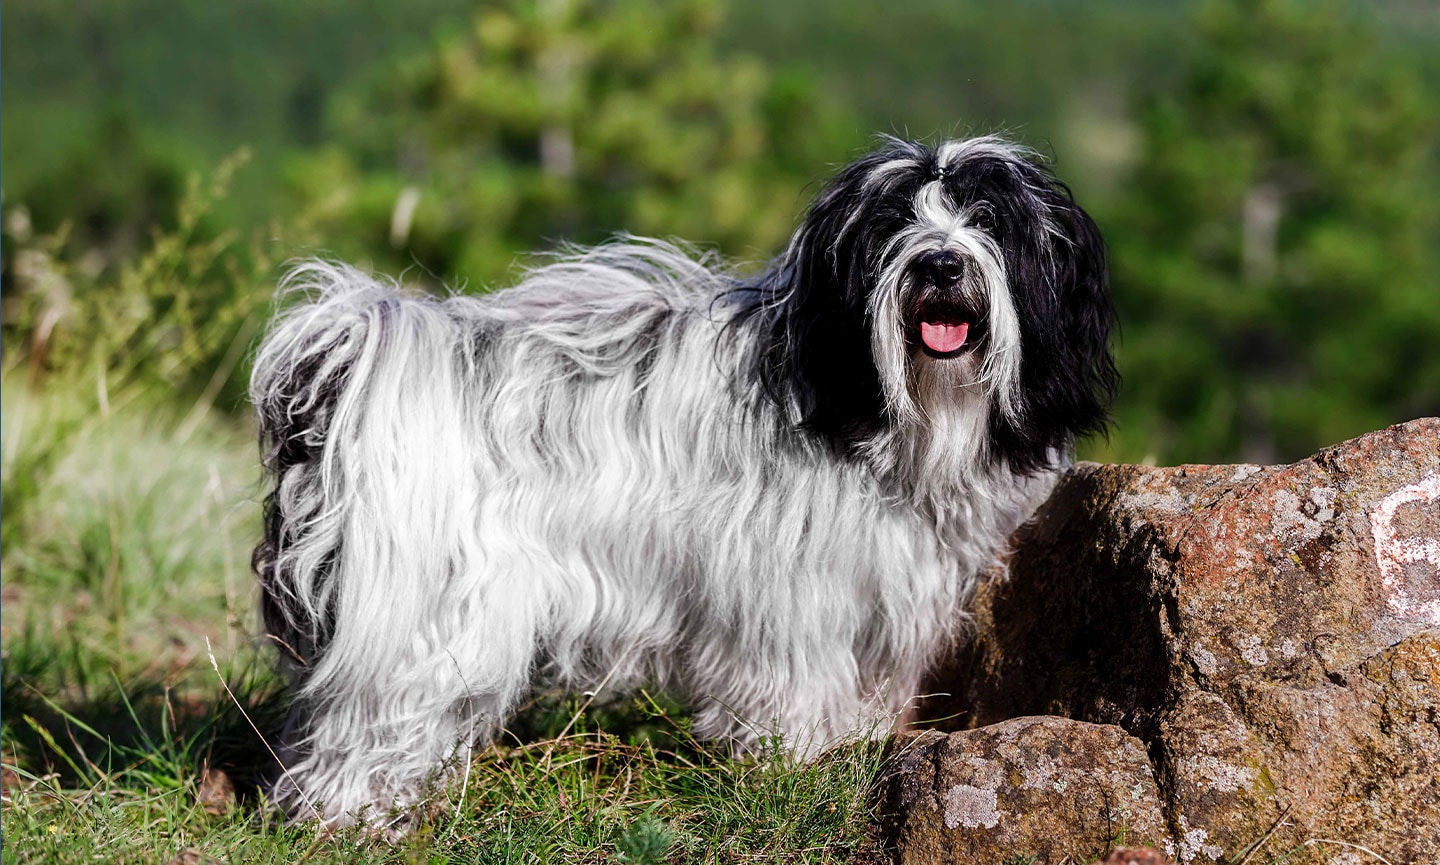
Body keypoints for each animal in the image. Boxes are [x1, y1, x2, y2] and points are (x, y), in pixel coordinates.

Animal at [253, 133, 1117, 823]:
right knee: (369, 721)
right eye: (892, 223)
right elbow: (793, 685)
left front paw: (851, 750)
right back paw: (351, 817)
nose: (939, 262)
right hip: (429, 614)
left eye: (990, 220)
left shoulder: (880, 593)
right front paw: (796, 765)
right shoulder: (785, 592)